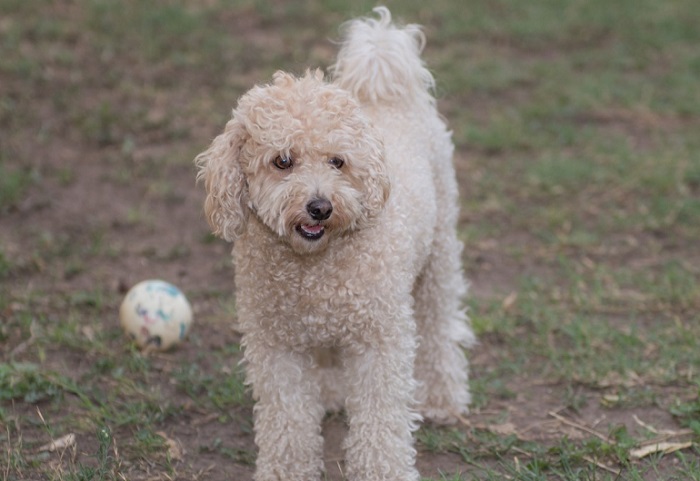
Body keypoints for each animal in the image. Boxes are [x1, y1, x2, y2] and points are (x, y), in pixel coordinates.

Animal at [194, 7, 474, 480]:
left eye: (338, 161)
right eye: (282, 161)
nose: (320, 207)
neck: (315, 269)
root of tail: (389, 93)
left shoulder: (380, 339)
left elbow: (380, 421)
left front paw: (383, 471)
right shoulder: (278, 346)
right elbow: (287, 421)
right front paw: (286, 470)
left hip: (438, 255)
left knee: (439, 325)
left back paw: (441, 398)